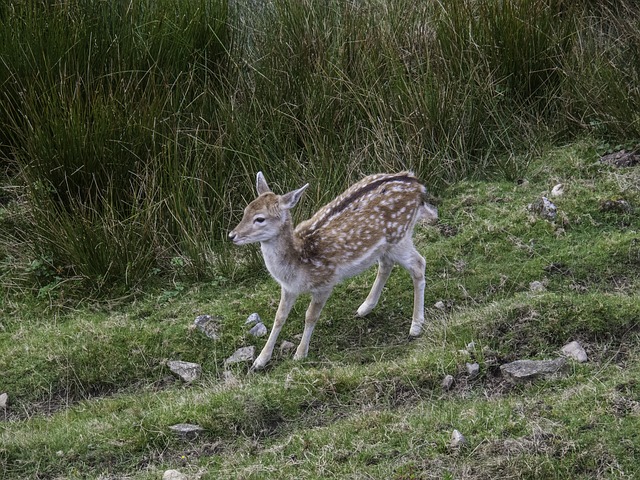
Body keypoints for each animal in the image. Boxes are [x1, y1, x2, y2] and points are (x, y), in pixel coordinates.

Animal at [228, 171, 438, 370]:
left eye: (260, 219)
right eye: (245, 210)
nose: (231, 235)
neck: (299, 266)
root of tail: (417, 184)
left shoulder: (326, 282)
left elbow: (310, 316)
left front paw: (300, 354)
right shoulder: (288, 288)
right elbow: (279, 317)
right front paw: (260, 360)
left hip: (399, 236)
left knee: (418, 264)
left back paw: (416, 326)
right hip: (385, 246)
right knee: (386, 264)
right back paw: (364, 308)